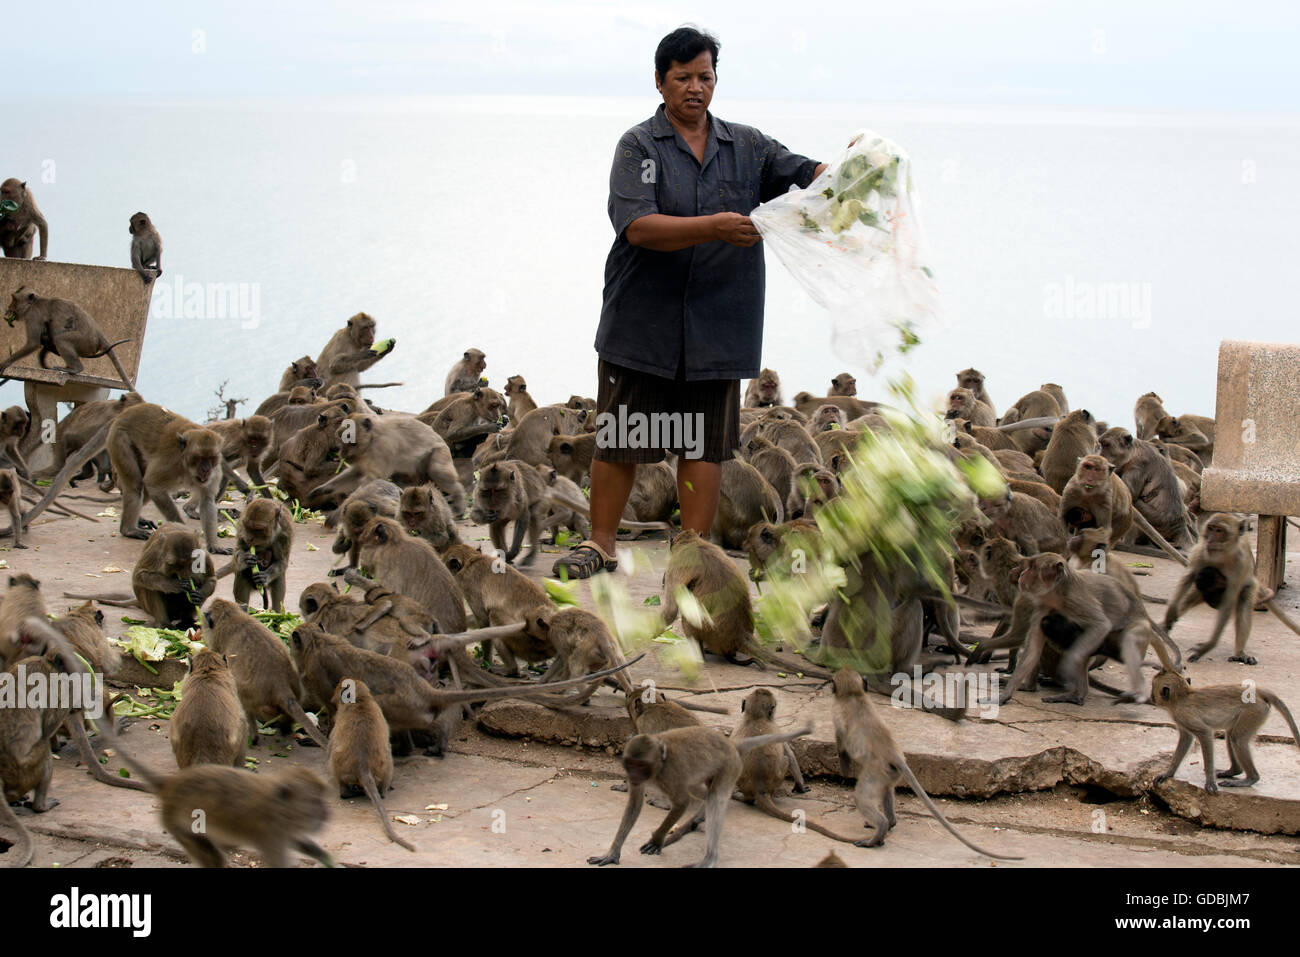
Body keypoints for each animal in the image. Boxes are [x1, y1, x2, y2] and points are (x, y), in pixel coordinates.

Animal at [2, 287, 134, 389]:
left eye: (14, 300)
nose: (8, 308)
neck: (34, 303)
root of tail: (99, 334)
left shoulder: (33, 315)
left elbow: (33, 343)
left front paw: (5, 363)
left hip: (85, 342)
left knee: (60, 339)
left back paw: (75, 368)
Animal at [312, 412, 465, 517]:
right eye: (341, 439)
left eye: (350, 440)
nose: (341, 454)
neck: (372, 438)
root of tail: (443, 441)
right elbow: (357, 473)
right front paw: (322, 489)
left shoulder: (383, 448)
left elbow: (371, 480)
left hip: (440, 452)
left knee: (437, 471)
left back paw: (458, 498)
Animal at [587, 723, 812, 868]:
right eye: (630, 764)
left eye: (641, 765)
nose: (633, 776)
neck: (659, 765)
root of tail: (731, 745)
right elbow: (634, 805)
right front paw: (612, 853)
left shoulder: (671, 776)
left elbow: (681, 803)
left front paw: (657, 839)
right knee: (702, 792)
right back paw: (699, 818)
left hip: (731, 766)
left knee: (714, 798)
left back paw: (709, 858)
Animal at [831, 669, 1021, 858]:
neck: (854, 695)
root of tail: (893, 753)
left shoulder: (838, 716)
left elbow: (842, 746)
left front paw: (845, 769)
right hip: (889, 772)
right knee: (886, 790)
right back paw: (889, 823)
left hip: (876, 771)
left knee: (862, 796)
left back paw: (879, 831)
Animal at [1150, 670, 1300, 793]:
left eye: (1153, 688)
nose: (1151, 697)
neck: (1183, 697)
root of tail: (1258, 691)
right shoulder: (1181, 719)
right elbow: (1186, 739)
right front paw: (1168, 773)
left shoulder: (1184, 715)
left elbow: (1205, 734)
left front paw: (1210, 782)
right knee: (1231, 735)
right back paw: (1233, 771)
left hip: (1254, 711)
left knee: (1237, 739)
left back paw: (1251, 779)